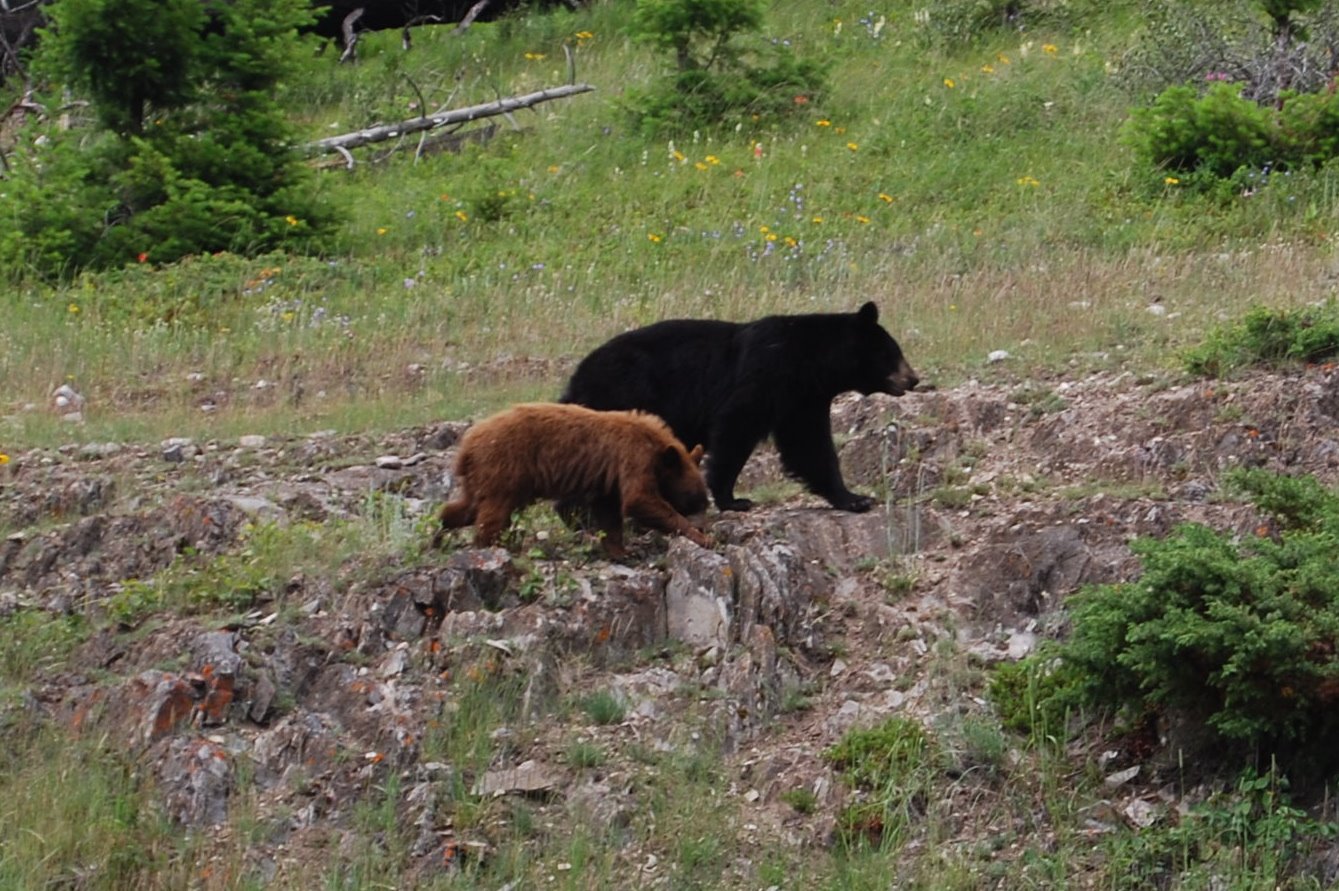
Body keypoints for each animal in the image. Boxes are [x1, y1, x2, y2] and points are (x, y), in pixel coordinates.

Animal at [557, 302, 921, 511]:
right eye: (892, 352)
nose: (913, 379)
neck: (810, 361)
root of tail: (576, 378)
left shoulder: (803, 399)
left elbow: (810, 446)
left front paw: (854, 498)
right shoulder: (766, 374)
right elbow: (737, 427)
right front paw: (732, 499)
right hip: (621, 395)